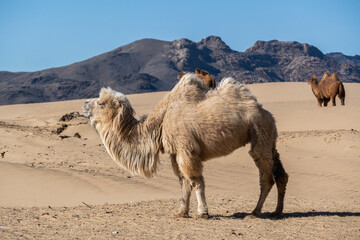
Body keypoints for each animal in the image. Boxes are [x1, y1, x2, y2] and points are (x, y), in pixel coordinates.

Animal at [83, 73, 288, 219]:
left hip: (259, 131)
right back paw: (277, 211)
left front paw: (203, 212)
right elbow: (183, 182)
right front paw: (181, 212)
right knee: (281, 173)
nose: (84, 104)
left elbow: (195, 180)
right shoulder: (175, 153)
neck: (160, 122)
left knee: (265, 175)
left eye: (100, 103)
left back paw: (255, 212)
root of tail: (265, 111)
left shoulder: (186, 150)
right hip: (269, 137)